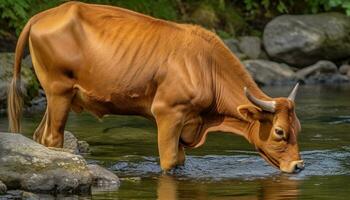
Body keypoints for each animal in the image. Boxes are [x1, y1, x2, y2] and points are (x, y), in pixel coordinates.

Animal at [7, 1, 304, 173]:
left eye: (298, 128)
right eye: (279, 131)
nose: (299, 165)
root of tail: (44, 15)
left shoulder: (187, 122)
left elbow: (181, 160)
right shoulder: (167, 112)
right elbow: (169, 161)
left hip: (58, 95)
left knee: (39, 135)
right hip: (59, 90)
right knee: (52, 137)